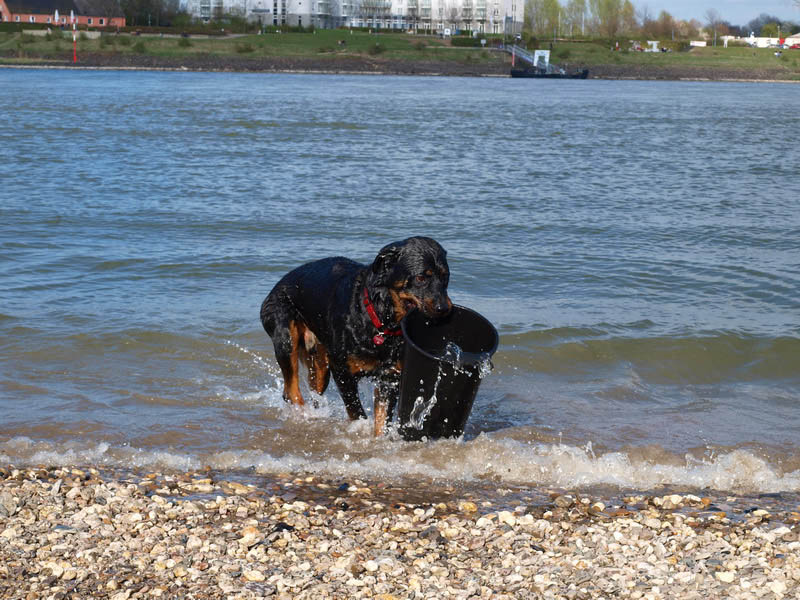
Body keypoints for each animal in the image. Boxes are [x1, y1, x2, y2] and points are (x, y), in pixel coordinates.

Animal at [260, 236, 454, 436]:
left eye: (445, 277)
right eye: (421, 278)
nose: (445, 309)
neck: (380, 321)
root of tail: (277, 286)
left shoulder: (390, 376)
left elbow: (382, 419)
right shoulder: (341, 370)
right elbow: (355, 410)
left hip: (320, 362)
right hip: (285, 336)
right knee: (292, 391)